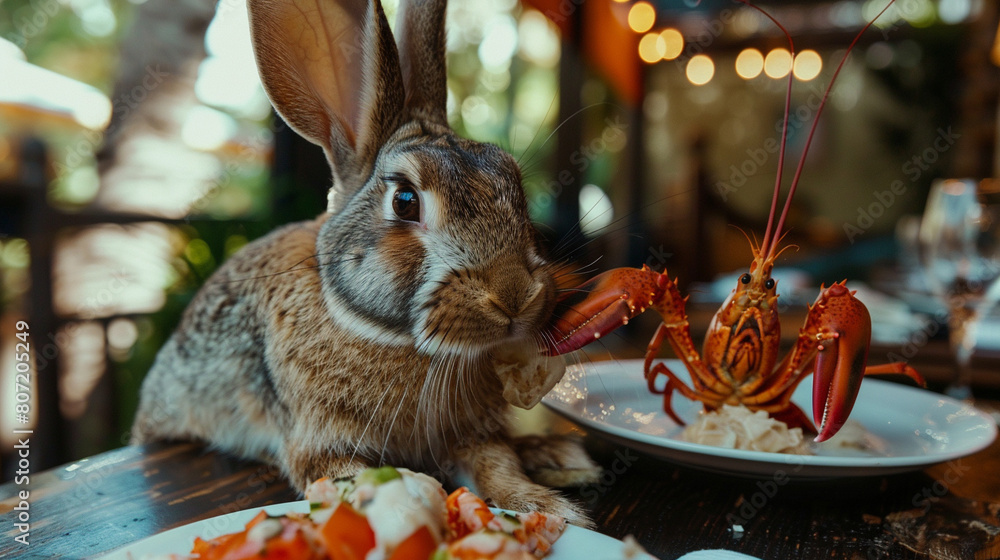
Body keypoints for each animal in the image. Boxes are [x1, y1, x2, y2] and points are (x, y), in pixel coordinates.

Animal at [134, 0, 600, 524]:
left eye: (515, 186)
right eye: (405, 201)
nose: (516, 295)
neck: (390, 337)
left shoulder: (474, 434)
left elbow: (498, 465)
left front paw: (546, 508)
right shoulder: (318, 444)